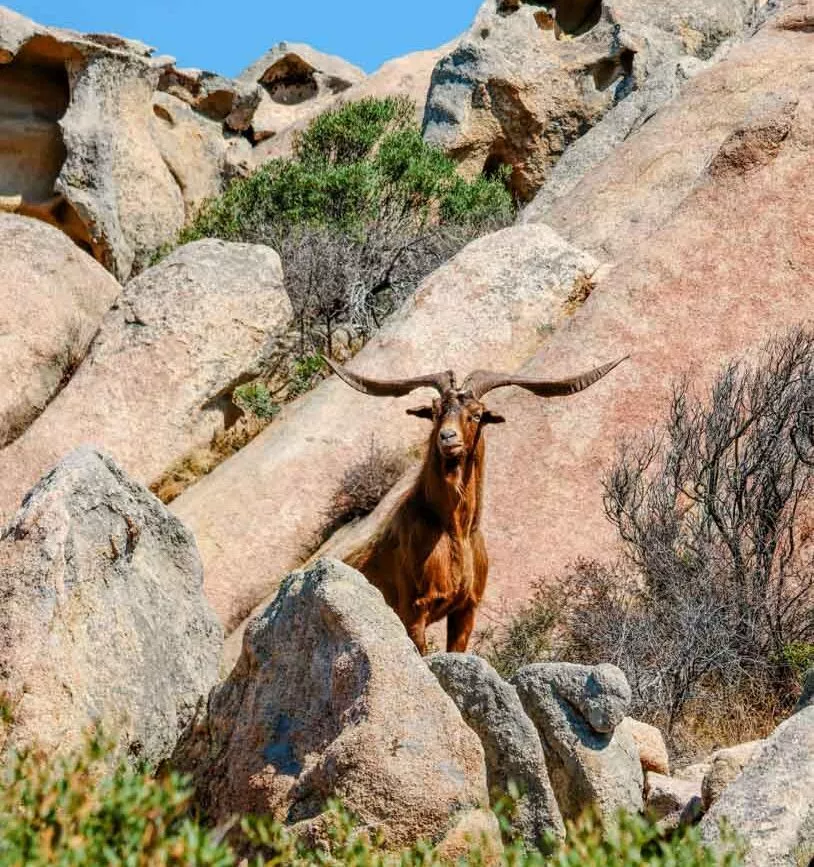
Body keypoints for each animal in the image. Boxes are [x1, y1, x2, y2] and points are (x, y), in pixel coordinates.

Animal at [327, 356, 626, 654]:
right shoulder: (413, 610)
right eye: (435, 411)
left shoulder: (466, 609)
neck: (454, 530)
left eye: (477, 414)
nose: (448, 438)